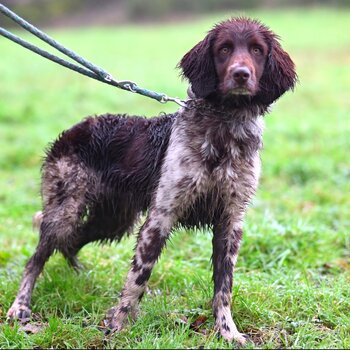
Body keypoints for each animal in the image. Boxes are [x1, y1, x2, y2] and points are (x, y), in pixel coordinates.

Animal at [6, 17, 296, 344]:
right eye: (224, 49)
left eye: (257, 50)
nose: (241, 74)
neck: (223, 130)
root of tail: (73, 130)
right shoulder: (160, 217)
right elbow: (138, 278)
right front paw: (118, 326)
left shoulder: (230, 223)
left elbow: (224, 289)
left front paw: (228, 332)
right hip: (64, 212)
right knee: (36, 259)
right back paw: (20, 307)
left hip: (112, 220)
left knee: (71, 243)